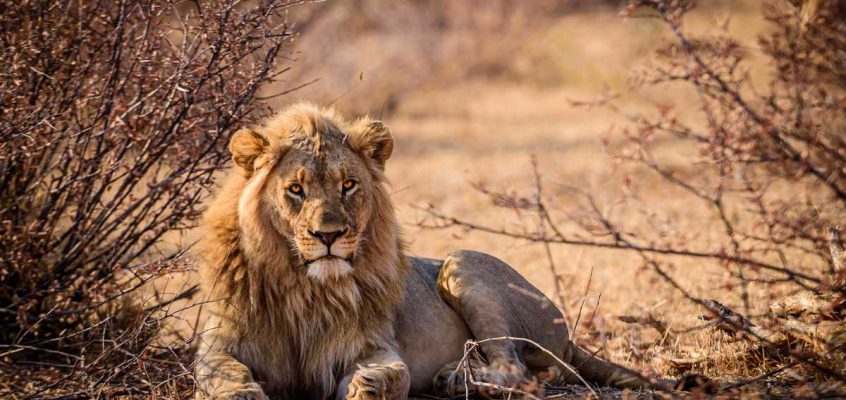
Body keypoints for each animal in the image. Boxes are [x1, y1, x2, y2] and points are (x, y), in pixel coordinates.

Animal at [194, 103, 667, 400]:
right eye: (296, 189)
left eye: (348, 185)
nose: (329, 234)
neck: (302, 286)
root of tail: (568, 338)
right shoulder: (220, 339)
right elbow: (218, 370)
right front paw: (240, 392)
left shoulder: (369, 343)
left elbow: (392, 371)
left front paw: (368, 388)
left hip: (462, 264)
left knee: (517, 371)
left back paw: (457, 379)